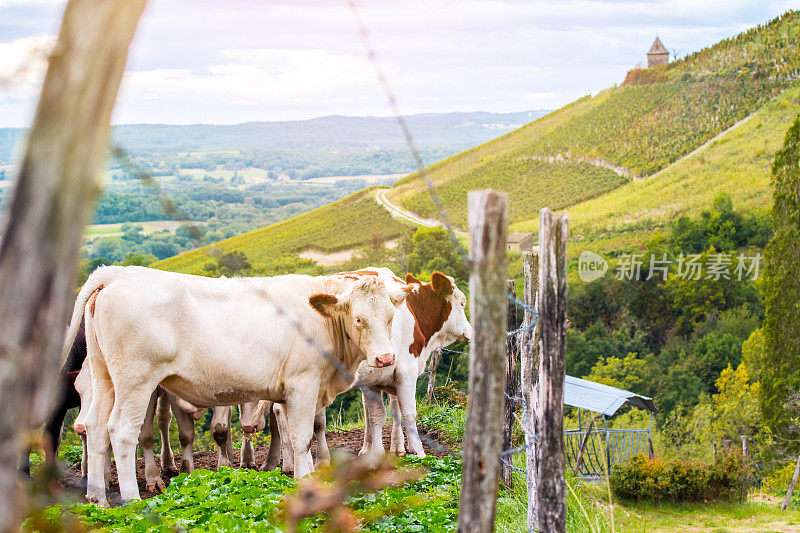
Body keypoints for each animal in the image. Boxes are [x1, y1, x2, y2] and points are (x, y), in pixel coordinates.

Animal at [63, 266, 410, 502]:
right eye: (358, 319)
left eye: (391, 317)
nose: (385, 358)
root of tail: (116, 273)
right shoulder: (303, 384)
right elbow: (301, 437)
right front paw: (306, 481)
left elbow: (291, 435)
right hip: (136, 382)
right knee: (122, 432)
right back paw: (132, 499)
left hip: (104, 378)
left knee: (95, 428)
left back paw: (98, 497)